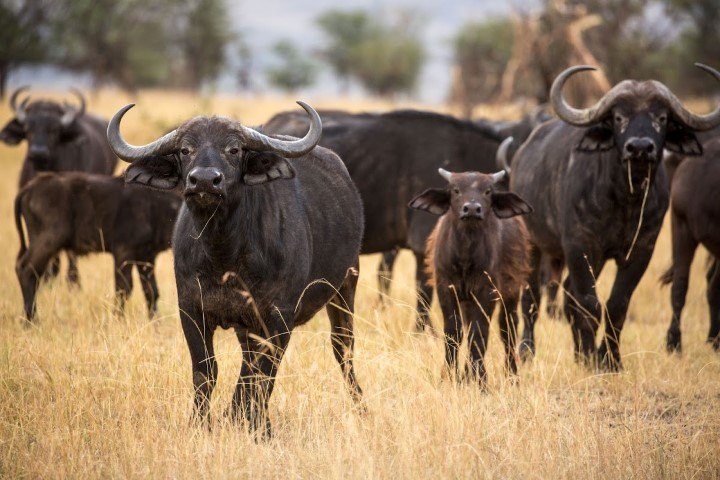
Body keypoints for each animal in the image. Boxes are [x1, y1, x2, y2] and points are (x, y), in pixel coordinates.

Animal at [15, 171, 180, 320]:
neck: (155, 203)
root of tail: (31, 187)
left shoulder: (146, 257)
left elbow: (152, 291)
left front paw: (155, 322)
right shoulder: (123, 252)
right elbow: (123, 289)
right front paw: (118, 319)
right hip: (49, 240)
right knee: (26, 270)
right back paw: (31, 320)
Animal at [105, 103, 366, 436]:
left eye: (234, 149)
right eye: (185, 150)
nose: (204, 181)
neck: (224, 256)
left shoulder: (278, 318)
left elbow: (261, 374)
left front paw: (256, 429)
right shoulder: (191, 310)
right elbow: (206, 371)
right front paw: (203, 424)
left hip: (346, 286)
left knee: (343, 349)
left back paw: (360, 408)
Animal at [408, 169, 532, 386]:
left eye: (488, 191)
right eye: (456, 190)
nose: (472, 209)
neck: (465, 256)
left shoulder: (486, 292)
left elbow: (479, 333)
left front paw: (481, 380)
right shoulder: (446, 288)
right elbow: (454, 332)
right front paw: (450, 376)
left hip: (511, 292)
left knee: (508, 329)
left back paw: (512, 376)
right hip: (467, 301)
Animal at [510, 64, 720, 372]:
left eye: (661, 118)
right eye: (619, 117)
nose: (640, 147)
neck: (624, 200)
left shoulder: (641, 251)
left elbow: (616, 304)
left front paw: (608, 359)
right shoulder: (581, 246)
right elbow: (588, 304)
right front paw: (591, 358)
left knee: (569, 295)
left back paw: (578, 353)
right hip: (535, 245)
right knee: (531, 298)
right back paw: (527, 350)